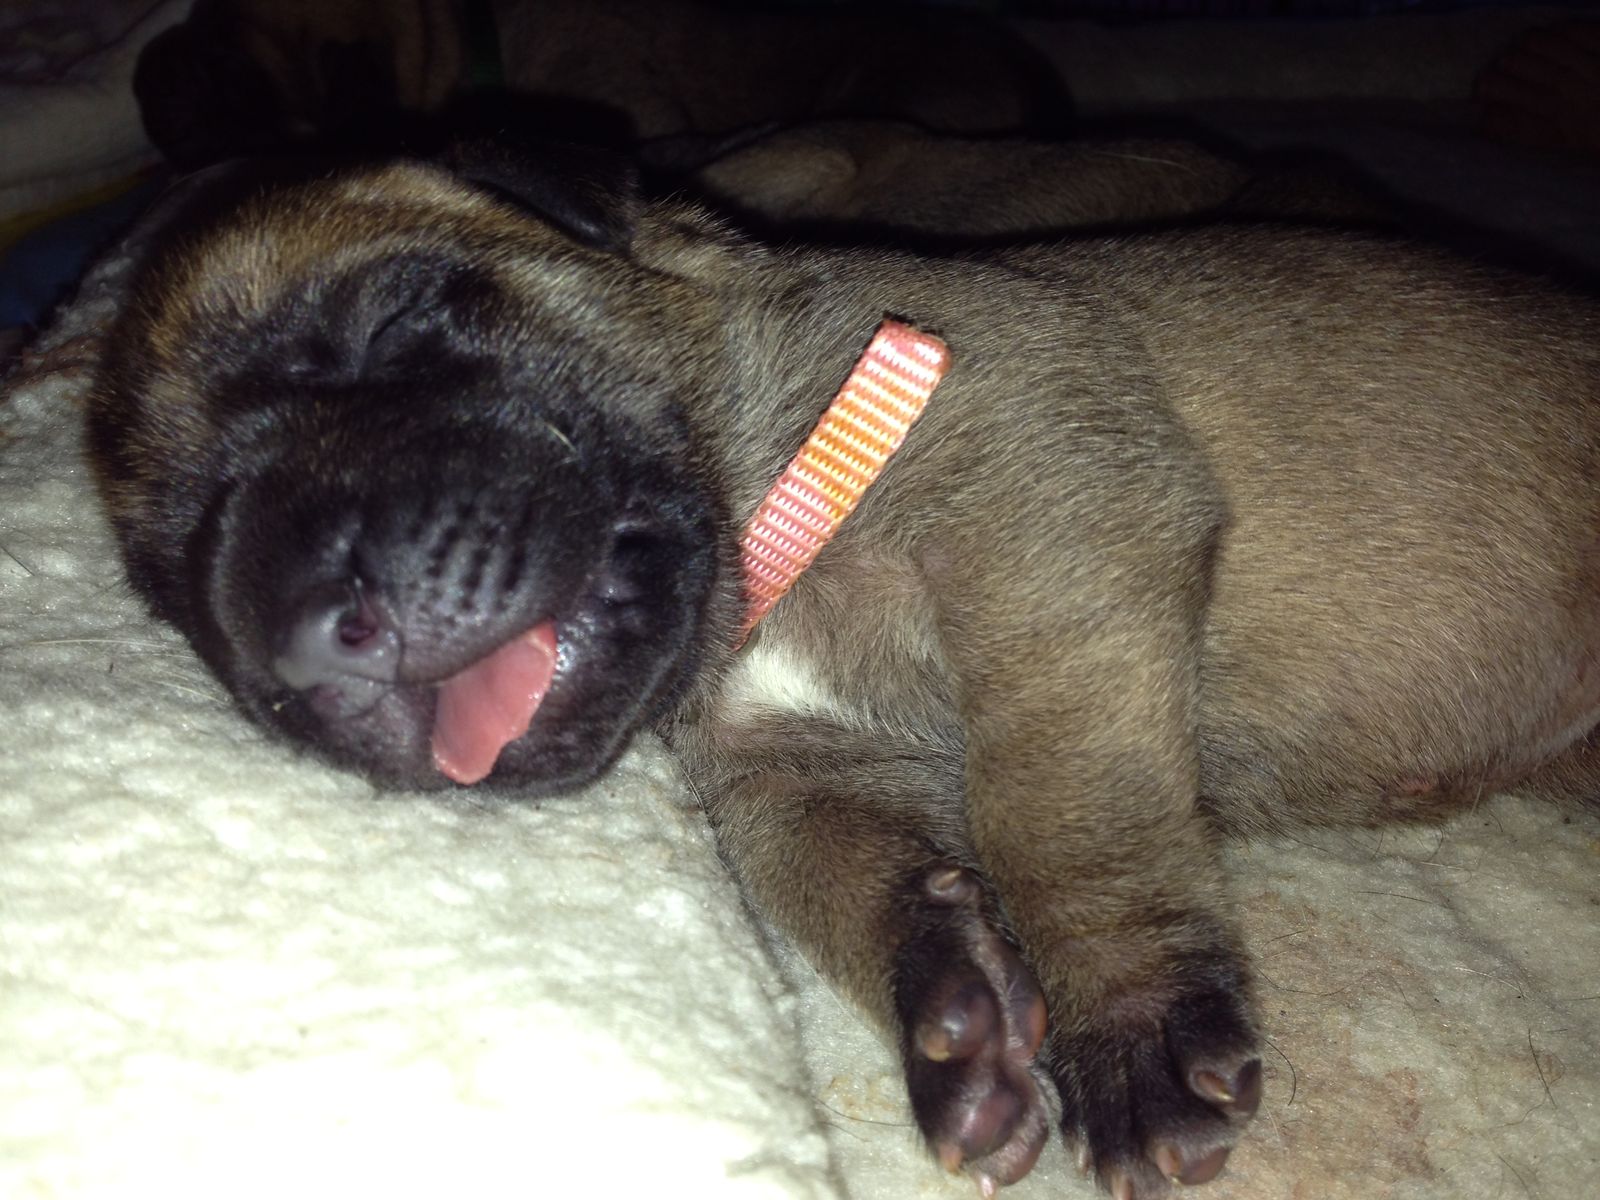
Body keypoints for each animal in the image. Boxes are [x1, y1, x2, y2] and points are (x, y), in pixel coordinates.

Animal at [86, 146, 1600, 1198]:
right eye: (179, 566)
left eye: (385, 323)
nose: (295, 640)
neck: (767, 540)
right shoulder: (789, 772)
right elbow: (849, 876)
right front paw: (955, 1009)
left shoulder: (1050, 526)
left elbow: (1059, 812)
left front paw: (1127, 1022)